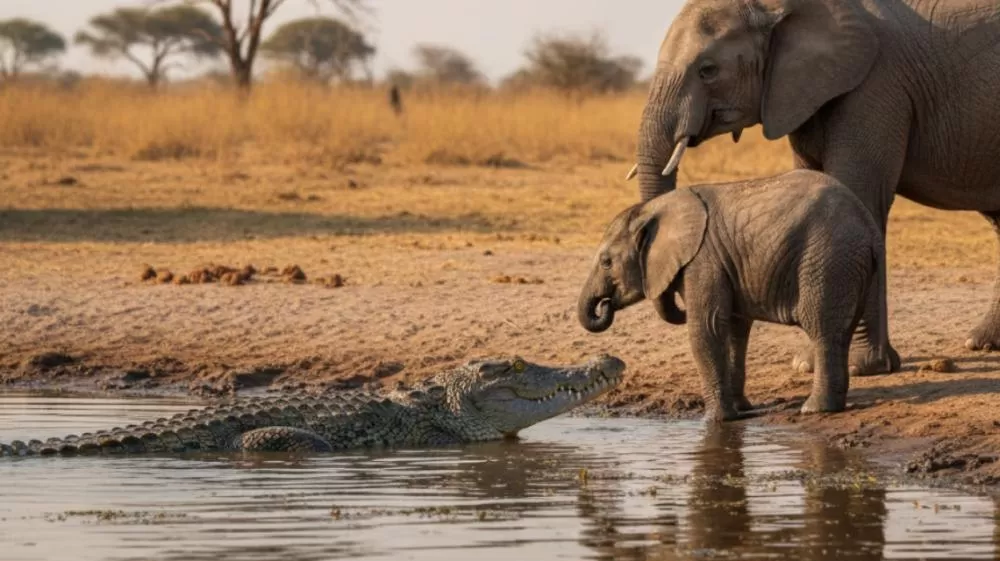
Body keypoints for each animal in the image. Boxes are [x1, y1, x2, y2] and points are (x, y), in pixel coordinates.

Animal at [577, 170, 882, 422]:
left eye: (606, 262)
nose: (604, 305)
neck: (654, 210)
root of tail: (869, 225)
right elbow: (735, 330)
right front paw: (740, 409)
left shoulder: (702, 260)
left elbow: (706, 328)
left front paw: (715, 421)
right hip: (848, 266)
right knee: (840, 332)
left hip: (827, 261)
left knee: (822, 329)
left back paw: (814, 409)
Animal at [628, 0, 1000, 376]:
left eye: (708, 71)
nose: (680, 307)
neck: (776, 8)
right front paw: (808, 364)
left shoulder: (875, 86)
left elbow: (859, 195)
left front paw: (860, 367)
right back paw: (982, 344)